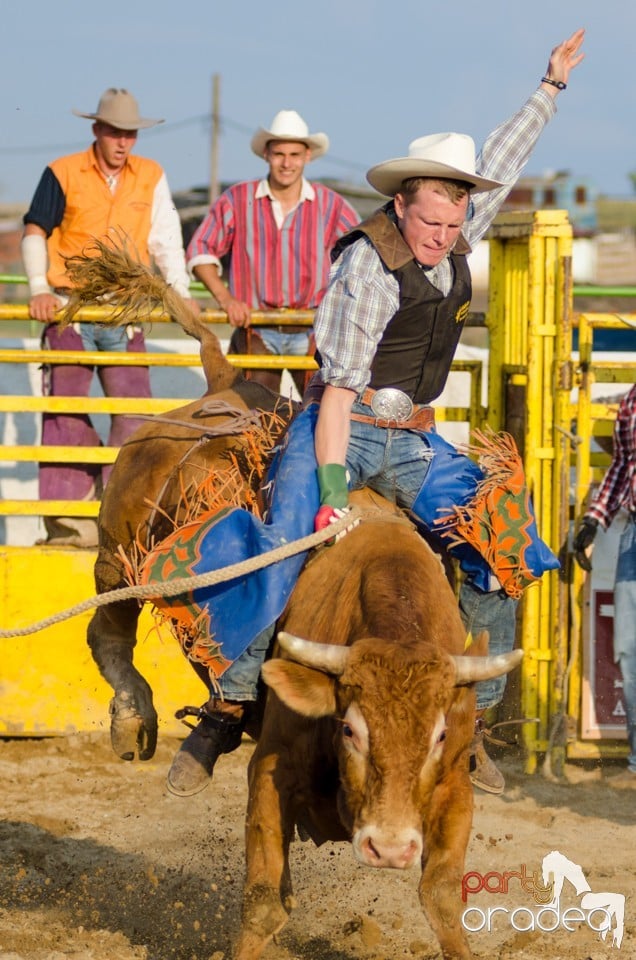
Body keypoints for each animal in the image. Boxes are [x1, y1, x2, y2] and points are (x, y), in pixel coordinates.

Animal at [236, 516, 520, 960]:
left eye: (440, 735)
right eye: (349, 729)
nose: (388, 850)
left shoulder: (455, 787)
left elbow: (441, 897)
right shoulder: (271, 768)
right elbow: (263, 904)